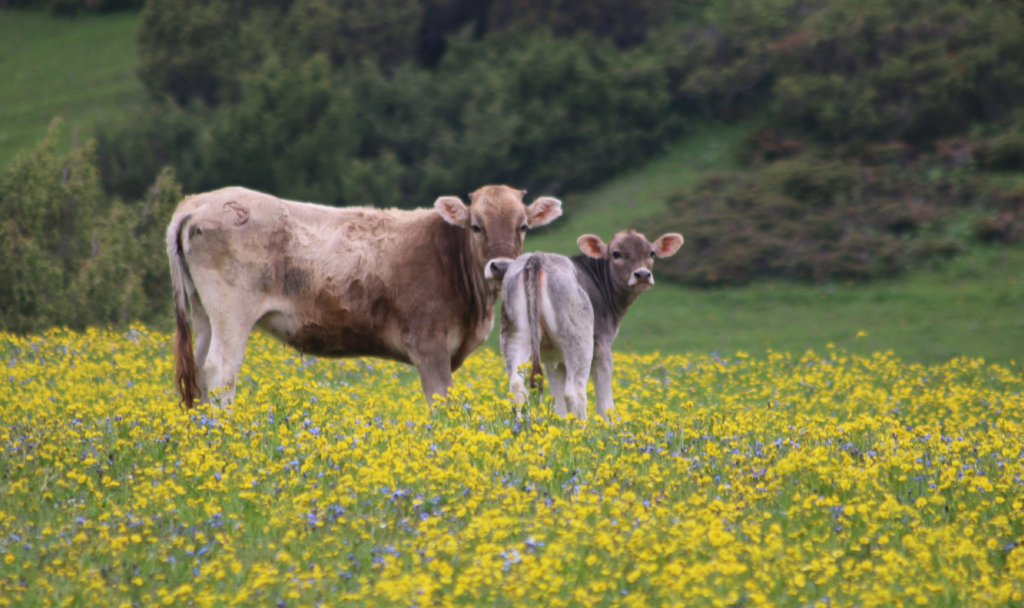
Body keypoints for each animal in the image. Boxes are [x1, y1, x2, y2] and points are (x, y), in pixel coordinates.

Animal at [165, 182, 561, 405]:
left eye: (522, 226)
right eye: (476, 226)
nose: (501, 266)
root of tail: (199, 202)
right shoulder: (428, 344)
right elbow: (441, 404)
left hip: (202, 311)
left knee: (196, 371)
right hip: (231, 309)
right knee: (220, 370)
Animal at [499, 229, 684, 419]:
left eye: (651, 253)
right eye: (616, 254)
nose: (642, 275)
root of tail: (537, 258)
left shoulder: (554, 357)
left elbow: (558, 403)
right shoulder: (602, 345)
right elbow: (605, 402)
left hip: (515, 335)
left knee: (517, 385)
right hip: (580, 339)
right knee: (575, 391)